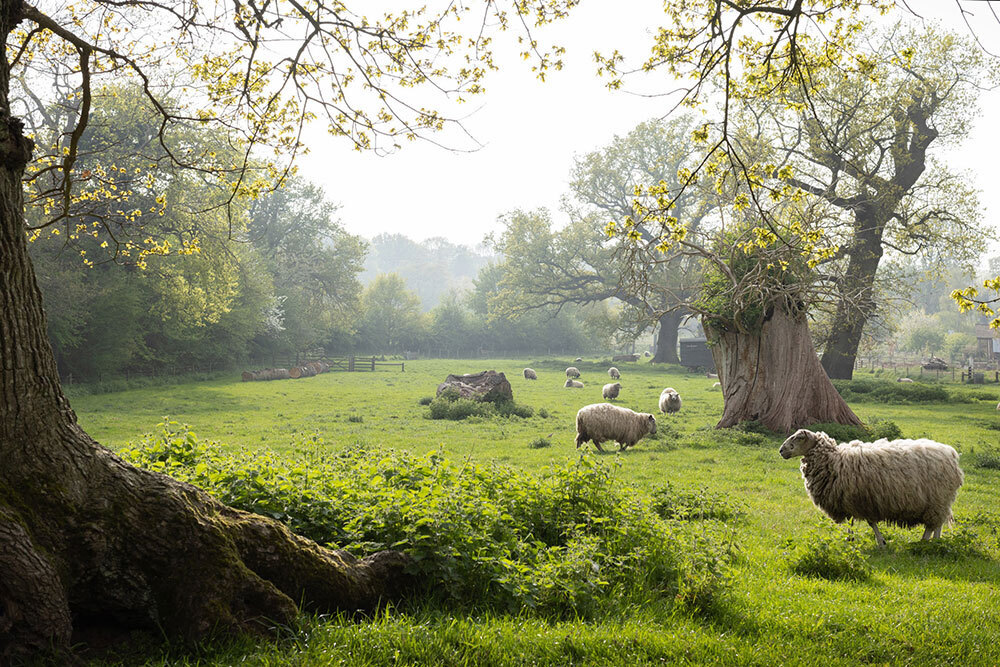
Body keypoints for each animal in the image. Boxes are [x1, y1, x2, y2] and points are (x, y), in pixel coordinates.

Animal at [776, 430, 964, 552]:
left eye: (800, 437)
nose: (781, 450)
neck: (834, 459)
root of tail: (951, 455)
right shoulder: (854, 501)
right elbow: (854, 523)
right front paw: (853, 540)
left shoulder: (861, 500)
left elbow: (870, 523)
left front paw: (877, 542)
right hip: (937, 501)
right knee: (936, 524)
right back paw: (930, 543)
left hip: (938, 500)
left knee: (935, 525)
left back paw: (928, 543)